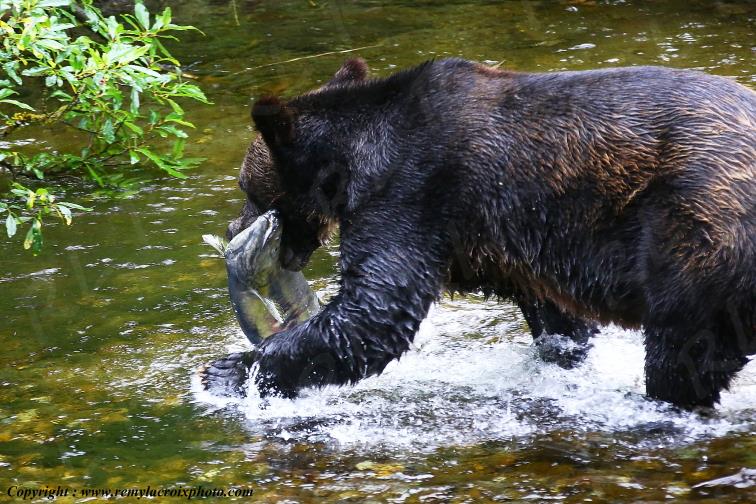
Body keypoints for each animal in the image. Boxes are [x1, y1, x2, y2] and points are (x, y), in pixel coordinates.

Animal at [227, 58, 755, 409]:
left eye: (246, 186)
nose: (234, 227)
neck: (351, 165)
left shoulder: (412, 191)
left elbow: (375, 309)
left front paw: (234, 369)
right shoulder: (510, 239)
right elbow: (559, 319)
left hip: (695, 224)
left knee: (681, 347)